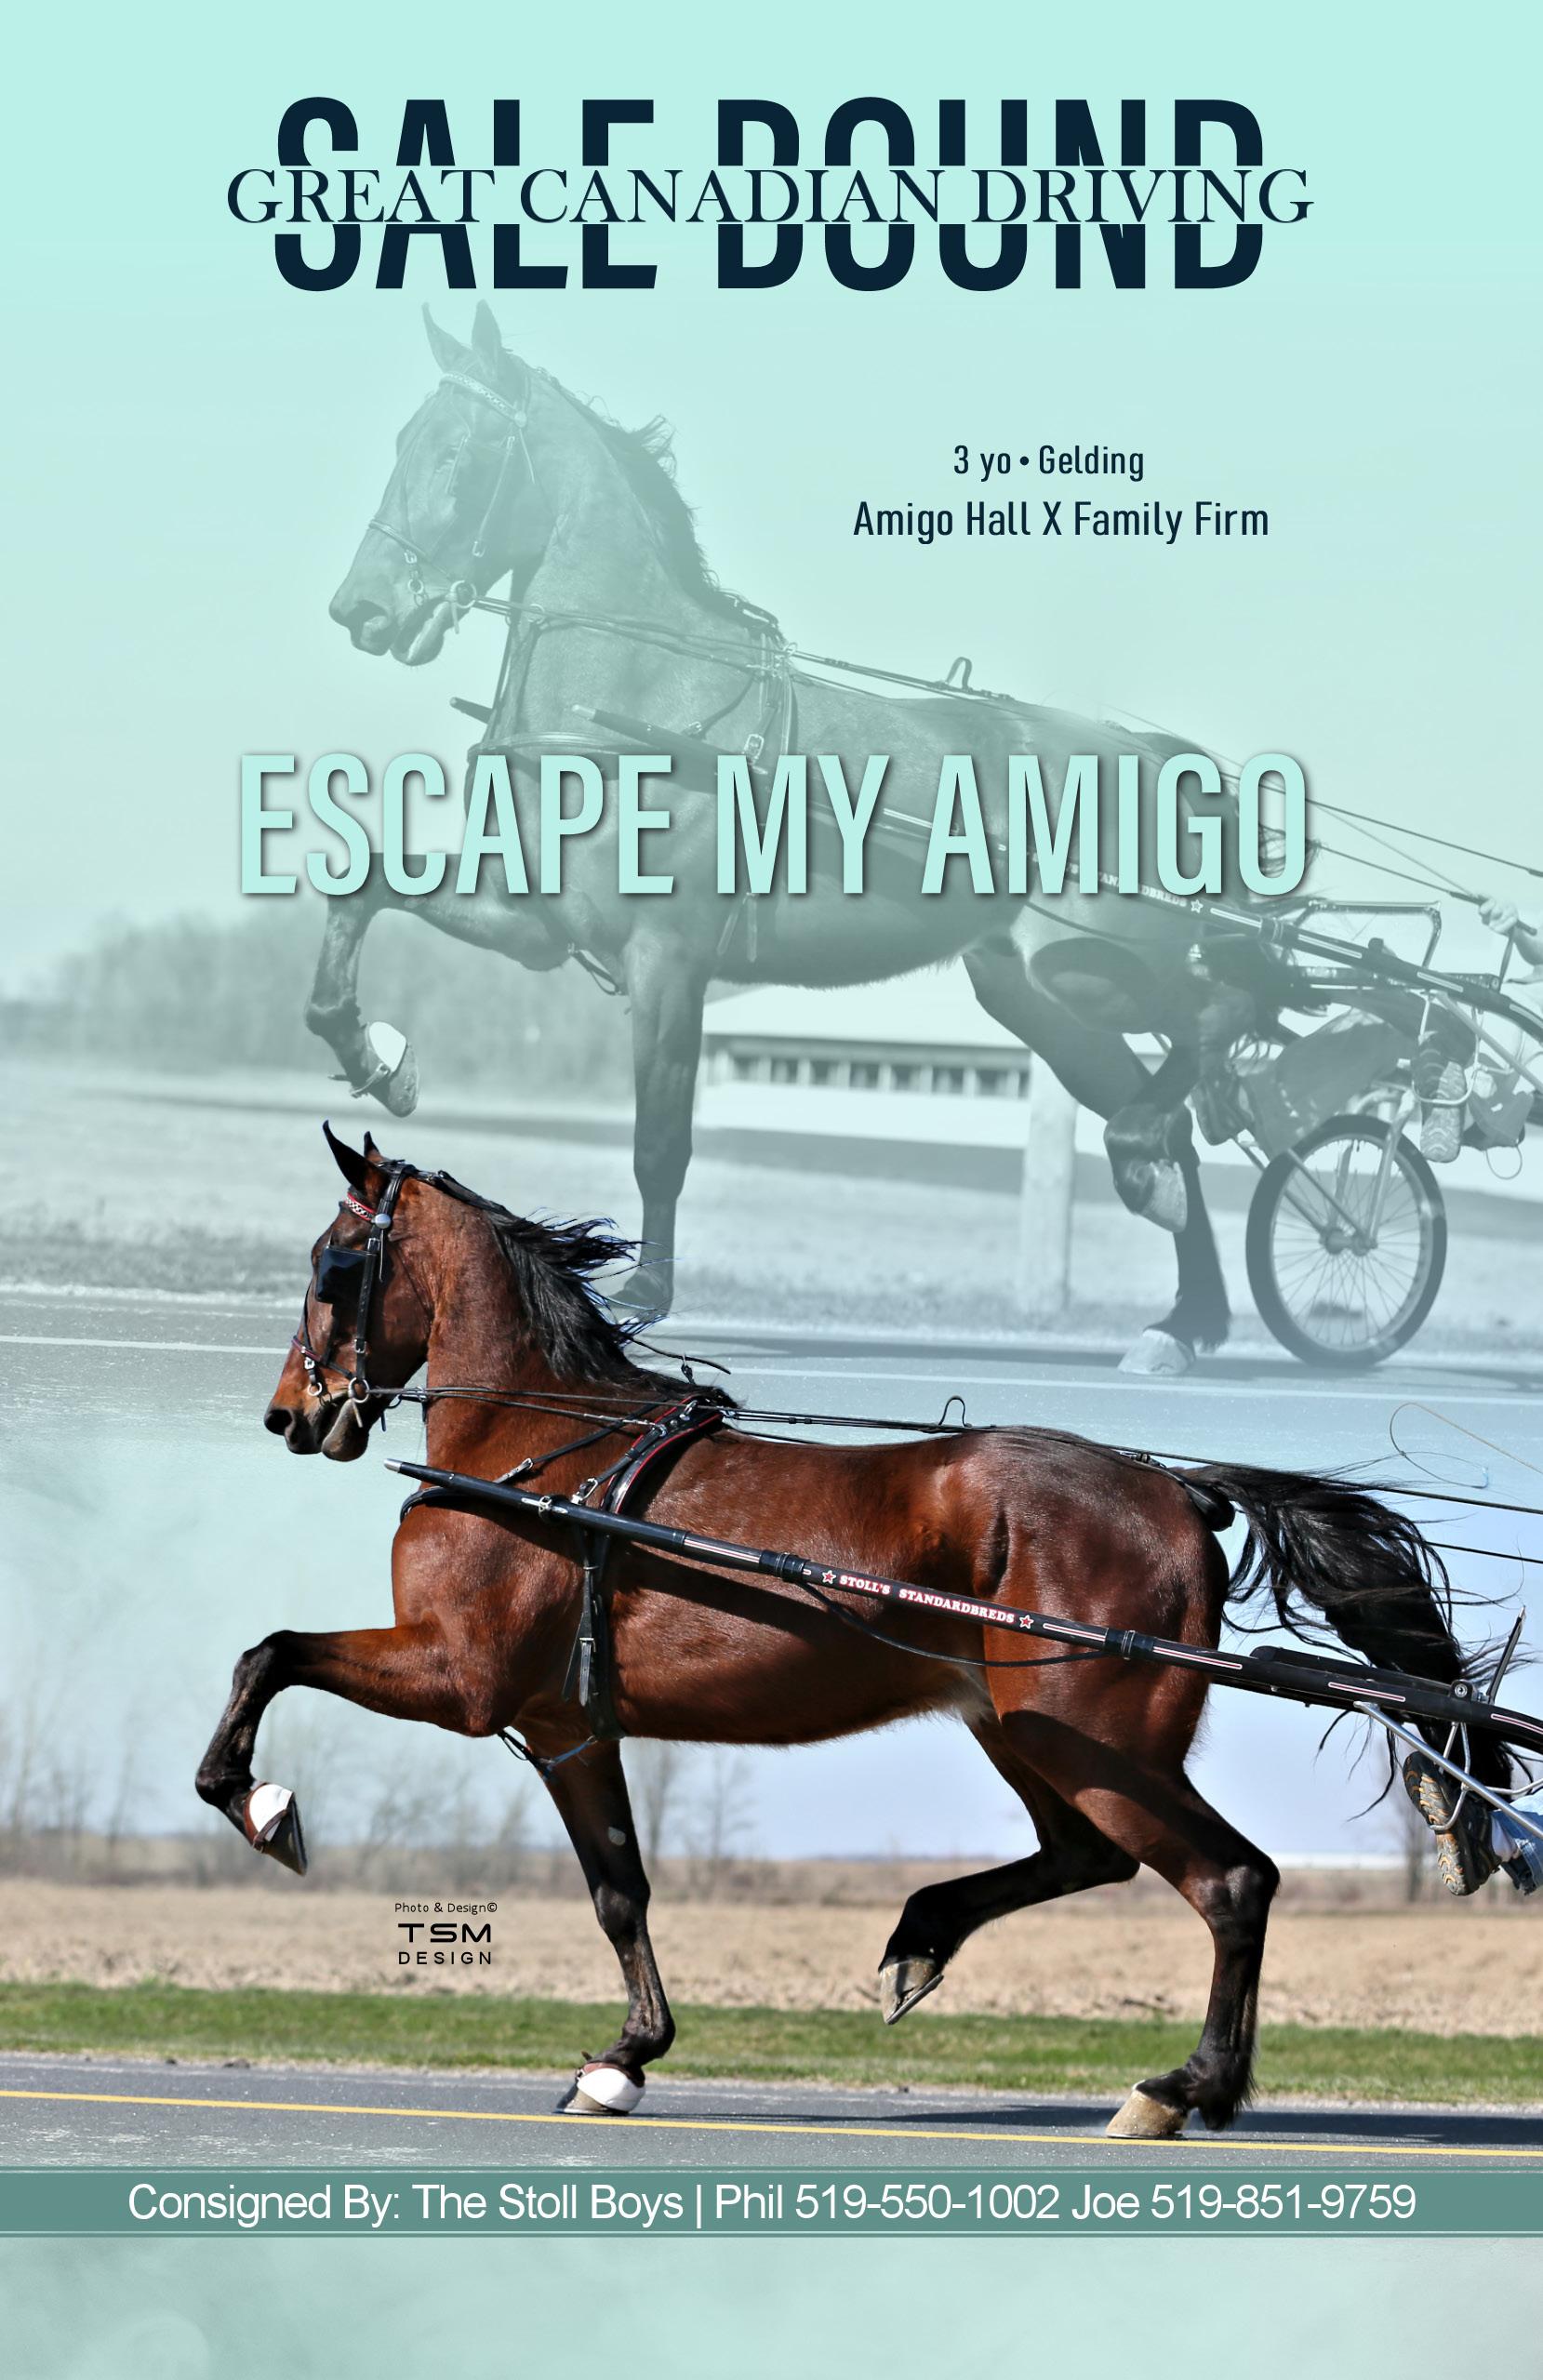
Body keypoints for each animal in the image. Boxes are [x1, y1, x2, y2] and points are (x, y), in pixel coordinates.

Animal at [194, 1125, 1508, 2136]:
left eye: (332, 1264)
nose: (289, 1414)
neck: (542, 1454)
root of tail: (1178, 1494)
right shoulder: (571, 1723)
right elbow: (621, 1888)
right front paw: (625, 2058)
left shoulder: (467, 1681)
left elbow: (271, 1653)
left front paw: (261, 1804)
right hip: (1021, 1728)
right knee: (1091, 1856)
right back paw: (927, 1936)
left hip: (1089, 1732)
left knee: (1230, 1879)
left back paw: (1185, 2088)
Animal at [319, 299, 1271, 1376]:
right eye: (406, 441)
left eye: (462, 451)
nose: (362, 608)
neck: (639, 701)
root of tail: (1156, 753)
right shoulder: (537, 925)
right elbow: (363, 887)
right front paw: (373, 1055)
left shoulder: (669, 956)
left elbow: (662, 1136)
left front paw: (645, 1292)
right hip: (1043, 995)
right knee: (1173, 1100)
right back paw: (1181, 1314)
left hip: (1101, 960)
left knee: (1223, 1011)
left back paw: (1151, 1167)